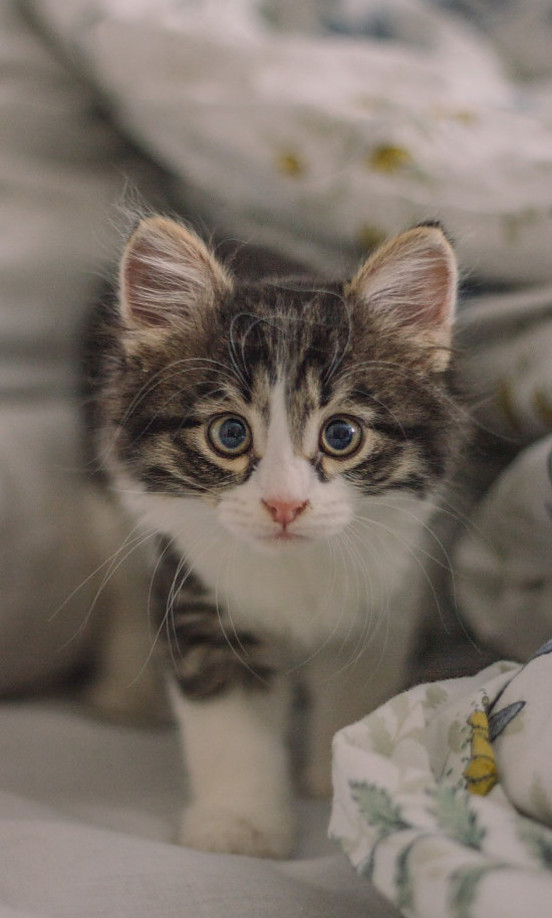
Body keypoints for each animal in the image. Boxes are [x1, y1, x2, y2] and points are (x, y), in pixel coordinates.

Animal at [83, 217, 462, 864]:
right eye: (230, 434)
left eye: (341, 435)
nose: (285, 504)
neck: (295, 571)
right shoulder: (198, 595)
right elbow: (230, 727)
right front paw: (240, 826)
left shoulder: (389, 591)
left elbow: (357, 690)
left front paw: (338, 776)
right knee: (128, 589)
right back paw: (124, 694)